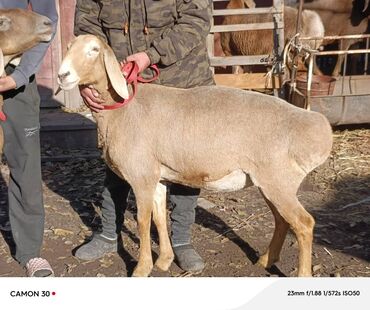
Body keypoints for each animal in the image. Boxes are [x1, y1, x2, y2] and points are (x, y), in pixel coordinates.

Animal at [57, 35, 332, 278]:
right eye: (68, 46)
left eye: (94, 50)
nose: (62, 75)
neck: (123, 110)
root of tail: (319, 128)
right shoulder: (157, 176)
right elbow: (159, 217)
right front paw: (164, 261)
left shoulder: (141, 176)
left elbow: (143, 222)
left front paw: (142, 269)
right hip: (272, 182)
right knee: (283, 221)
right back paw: (265, 260)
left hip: (279, 180)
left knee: (304, 223)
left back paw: (302, 275)